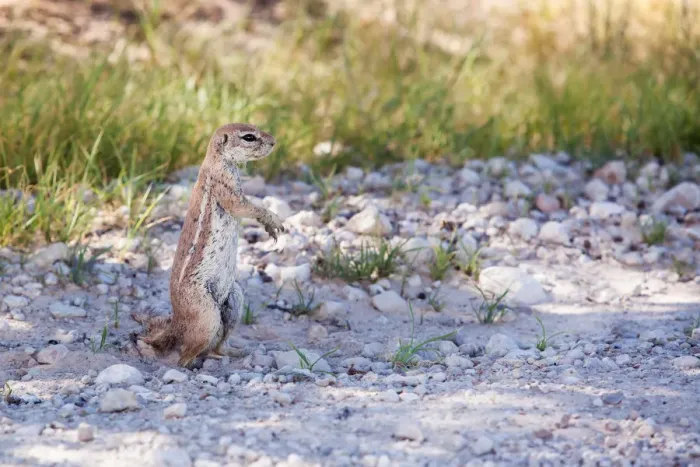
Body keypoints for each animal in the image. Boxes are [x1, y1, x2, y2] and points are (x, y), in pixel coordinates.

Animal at [133, 123, 285, 367]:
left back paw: (232, 352)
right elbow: (244, 206)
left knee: (217, 343)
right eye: (249, 137)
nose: (274, 142)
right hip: (206, 314)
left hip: (235, 299)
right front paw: (272, 219)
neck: (216, 160)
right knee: (185, 353)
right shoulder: (224, 184)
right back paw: (192, 364)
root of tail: (177, 321)